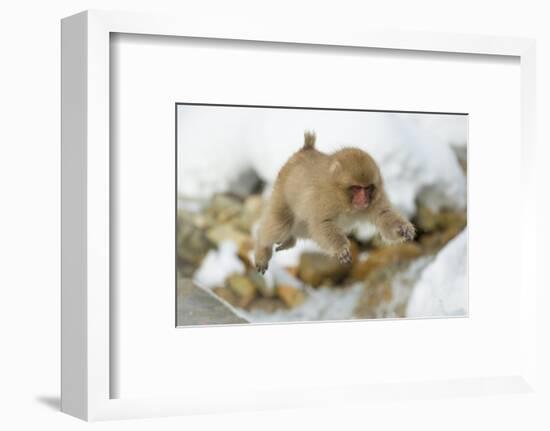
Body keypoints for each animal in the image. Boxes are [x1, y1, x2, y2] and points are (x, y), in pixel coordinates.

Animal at [256, 130, 416, 276]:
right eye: (357, 188)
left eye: (367, 188)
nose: (363, 199)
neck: (343, 199)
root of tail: (305, 149)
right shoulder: (324, 199)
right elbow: (323, 223)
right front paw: (341, 249)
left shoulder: (376, 198)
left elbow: (383, 214)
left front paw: (403, 228)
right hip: (282, 193)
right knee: (280, 225)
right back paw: (263, 250)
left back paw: (289, 241)